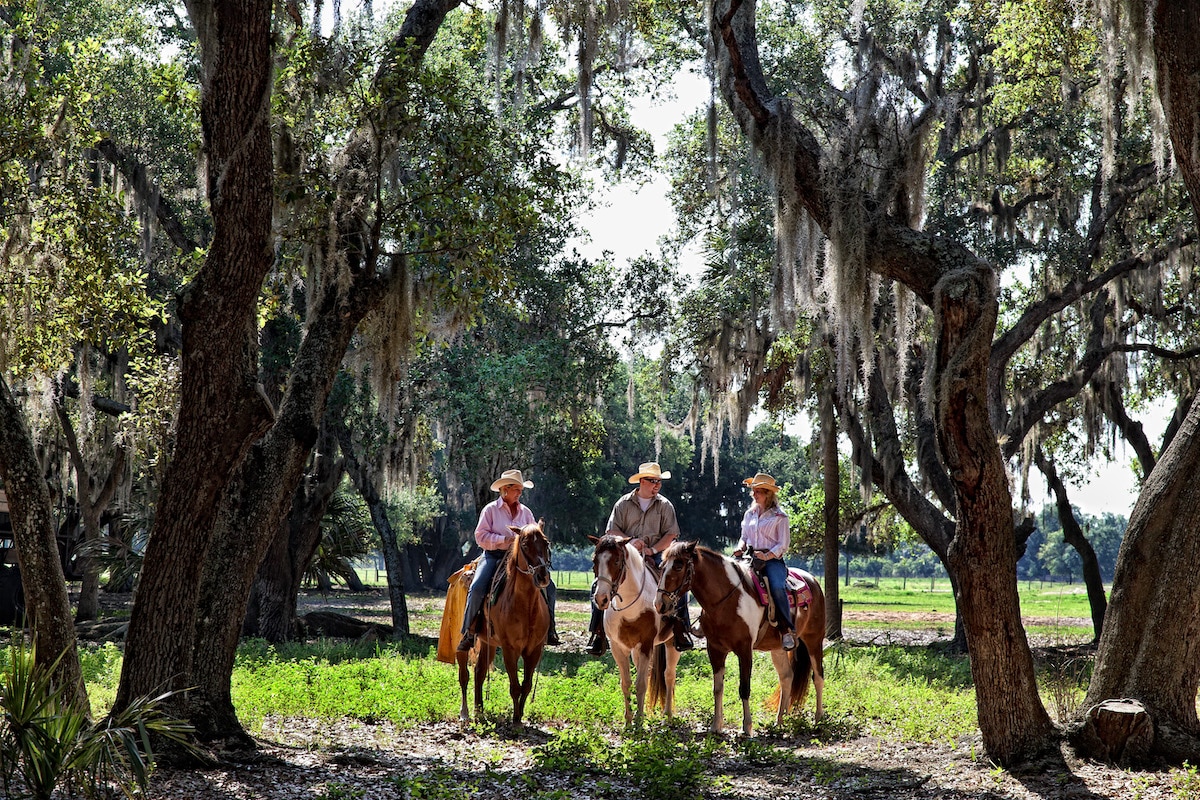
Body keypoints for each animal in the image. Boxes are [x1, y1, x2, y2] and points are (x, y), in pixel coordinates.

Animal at [458, 520, 552, 724]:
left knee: (479, 672)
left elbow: (526, 685)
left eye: (546, 543)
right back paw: (465, 713)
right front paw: (515, 721)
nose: (542, 576)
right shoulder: (510, 649)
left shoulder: (534, 650)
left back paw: (479, 711)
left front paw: (520, 716)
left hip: (488, 642)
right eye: (524, 544)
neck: (526, 607)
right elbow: (515, 686)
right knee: (464, 674)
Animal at [588, 534, 681, 729]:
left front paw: (638, 722)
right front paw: (629, 721)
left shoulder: (645, 645)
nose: (601, 599)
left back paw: (667, 716)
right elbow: (627, 683)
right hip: (635, 651)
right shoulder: (618, 647)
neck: (630, 607)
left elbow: (640, 684)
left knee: (669, 675)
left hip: (671, 644)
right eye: (595, 560)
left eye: (616, 561)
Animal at [657, 542, 825, 734]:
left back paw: (818, 719)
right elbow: (717, 688)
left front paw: (747, 727)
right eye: (661, 567)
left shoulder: (744, 650)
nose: (660, 604)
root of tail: (813, 580)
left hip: (814, 640)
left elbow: (744, 688)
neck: (727, 600)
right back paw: (779, 722)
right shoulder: (715, 649)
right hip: (778, 648)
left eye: (678, 566)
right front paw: (716, 726)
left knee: (818, 677)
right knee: (787, 678)